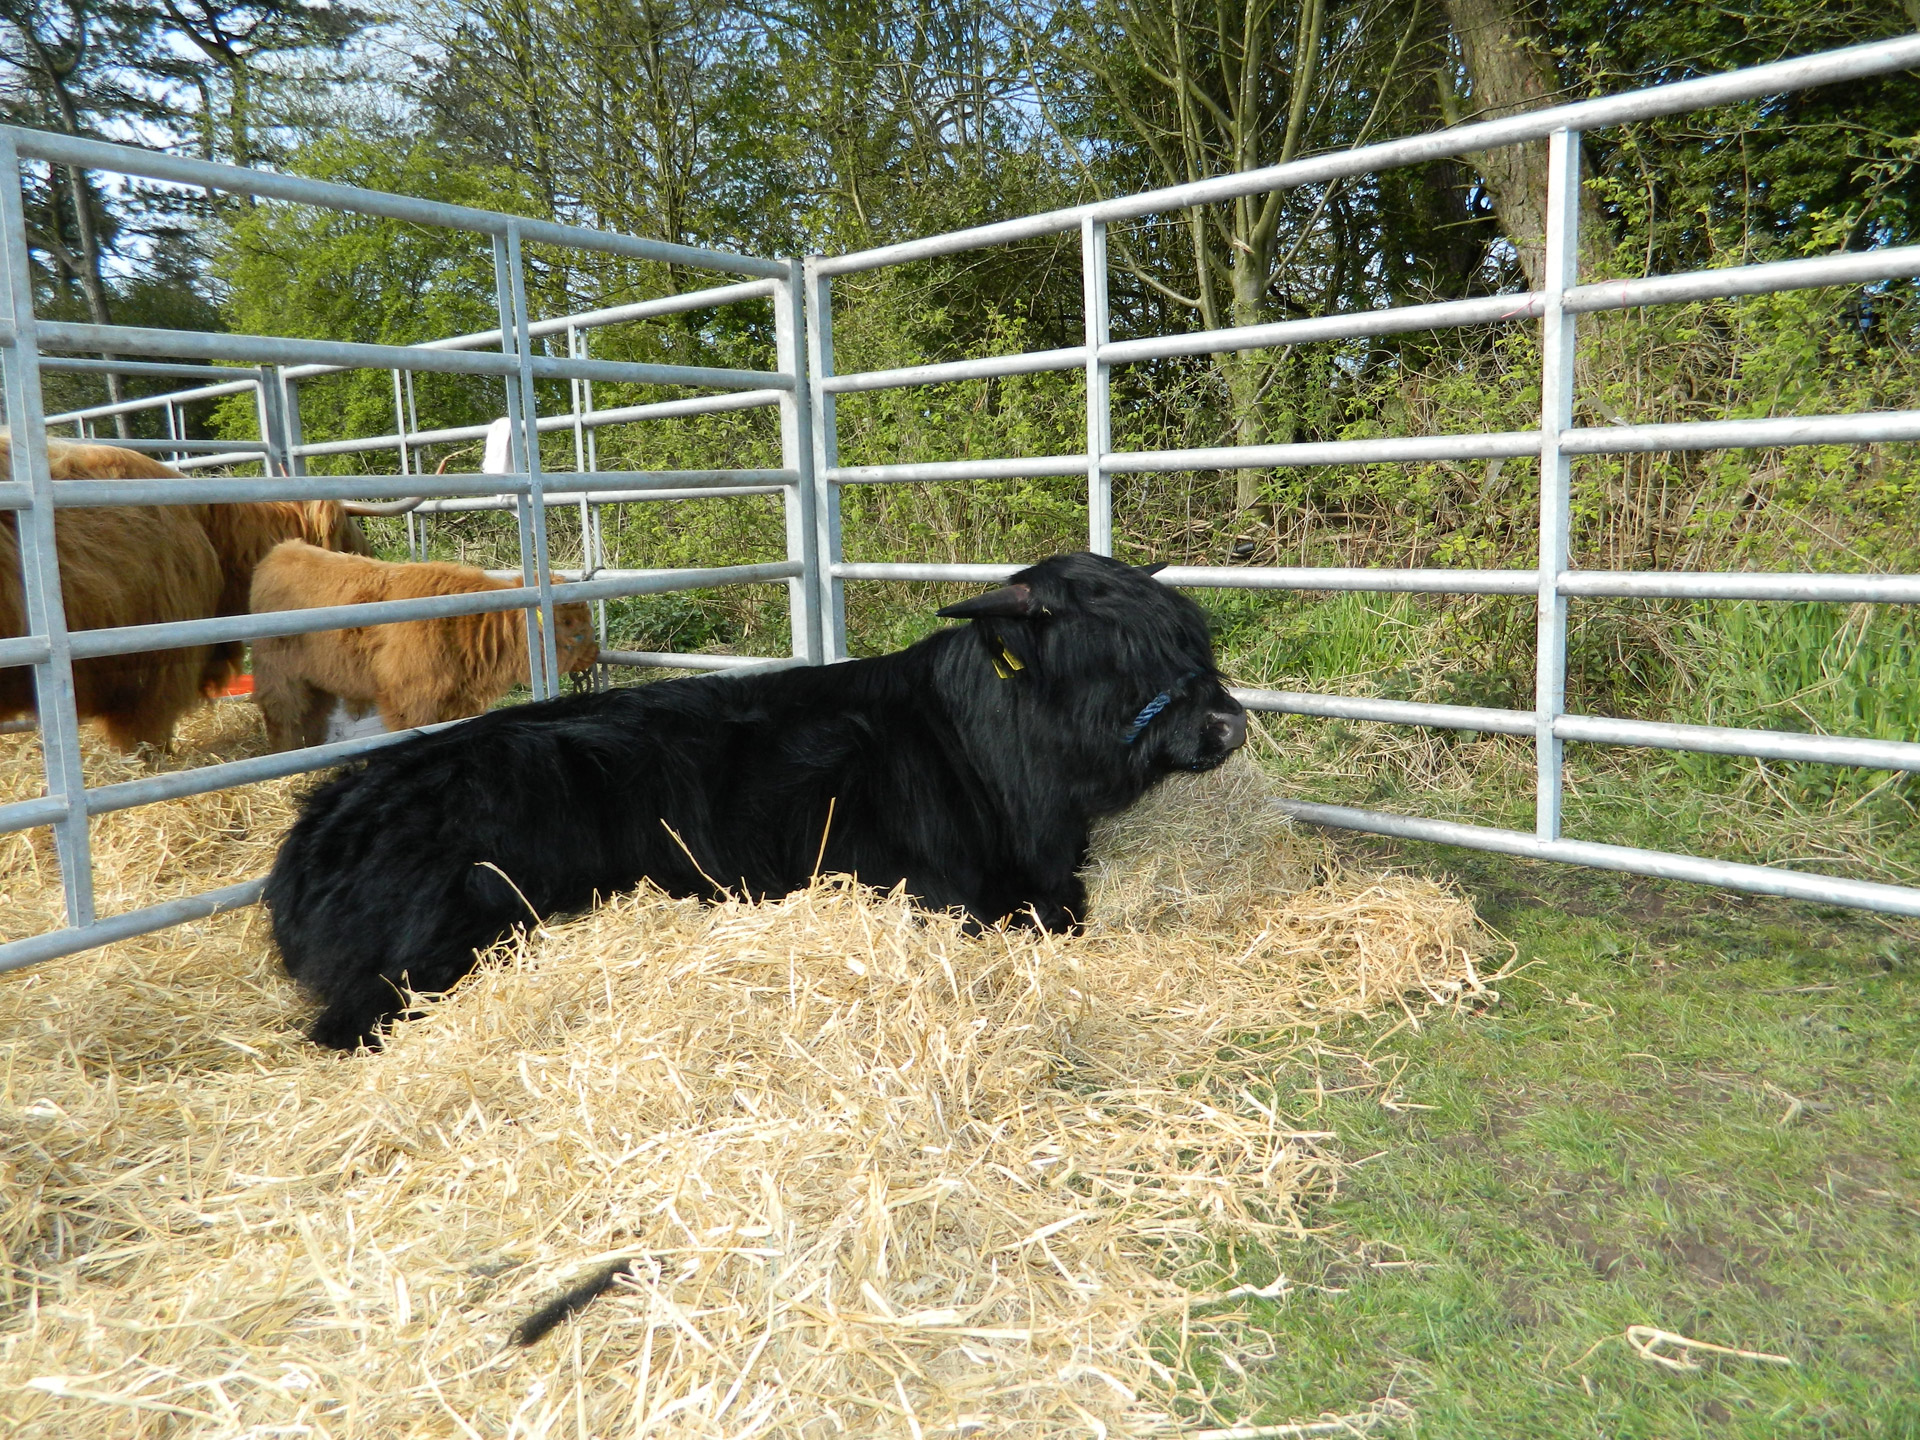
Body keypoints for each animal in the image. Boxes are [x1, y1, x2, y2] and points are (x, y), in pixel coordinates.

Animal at [247, 541, 595, 756]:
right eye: (571, 627)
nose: (593, 653)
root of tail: (281, 550)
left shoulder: (458, 701)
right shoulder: (410, 700)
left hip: (315, 683)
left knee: (312, 719)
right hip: (280, 678)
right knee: (284, 721)